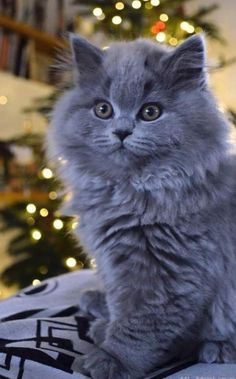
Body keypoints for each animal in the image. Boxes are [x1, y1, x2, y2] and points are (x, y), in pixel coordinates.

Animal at [48, 34, 236, 378]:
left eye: (150, 112)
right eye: (103, 109)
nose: (122, 131)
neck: (130, 189)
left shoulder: (170, 273)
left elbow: (141, 327)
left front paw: (109, 359)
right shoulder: (115, 265)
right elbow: (120, 305)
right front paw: (105, 324)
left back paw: (218, 348)